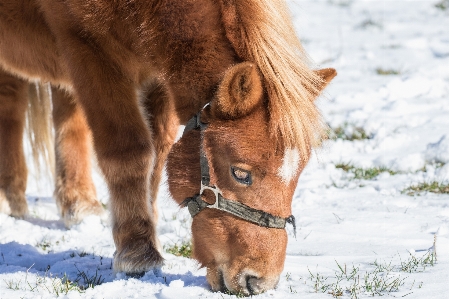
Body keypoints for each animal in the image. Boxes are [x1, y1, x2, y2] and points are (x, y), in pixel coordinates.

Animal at [0, 0, 334, 296]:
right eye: (240, 173)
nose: (259, 281)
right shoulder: (88, 49)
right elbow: (129, 152)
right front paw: (137, 252)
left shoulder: (159, 72)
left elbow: (158, 153)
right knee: (12, 105)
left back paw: (78, 204)